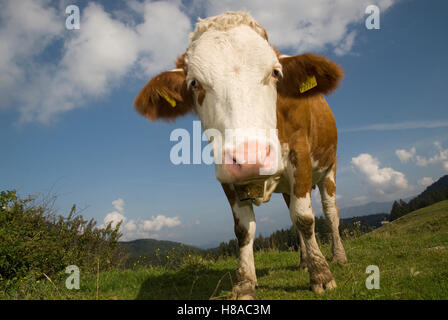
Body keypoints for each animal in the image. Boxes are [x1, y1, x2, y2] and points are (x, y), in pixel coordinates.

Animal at [135, 10, 348, 300]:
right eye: (194, 83)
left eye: (275, 72)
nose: (250, 157)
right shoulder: (226, 173)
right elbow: (244, 229)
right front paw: (244, 283)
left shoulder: (300, 155)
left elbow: (305, 218)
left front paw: (322, 275)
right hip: (286, 186)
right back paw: (304, 261)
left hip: (329, 167)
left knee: (329, 211)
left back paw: (338, 256)